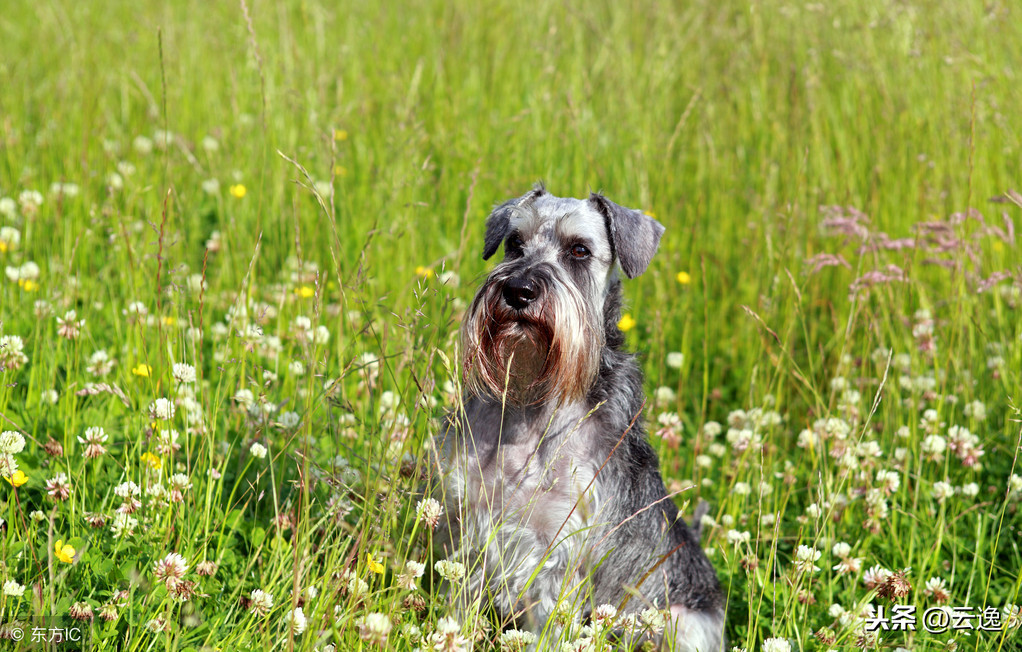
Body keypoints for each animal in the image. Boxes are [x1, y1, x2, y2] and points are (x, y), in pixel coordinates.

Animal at [435, 184, 723, 652]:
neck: (532, 405)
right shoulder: (470, 526)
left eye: (579, 250)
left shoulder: (556, 556)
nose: (518, 290)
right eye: (514, 242)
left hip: (680, 623)